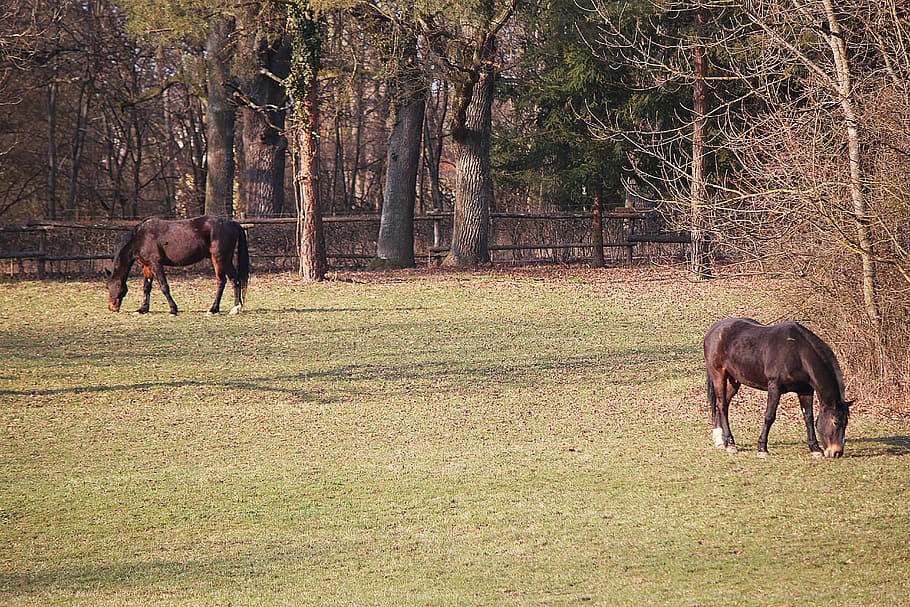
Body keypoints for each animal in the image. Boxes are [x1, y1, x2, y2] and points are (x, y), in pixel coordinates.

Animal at [105, 215, 249, 316]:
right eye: (107, 287)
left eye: (115, 286)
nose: (111, 307)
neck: (140, 238)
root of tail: (232, 223)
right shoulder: (147, 266)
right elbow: (146, 287)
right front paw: (142, 309)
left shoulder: (156, 264)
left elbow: (164, 286)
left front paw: (173, 309)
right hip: (227, 260)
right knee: (235, 280)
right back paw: (235, 308)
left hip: (219, 259)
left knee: (221, 281)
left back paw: (213, 309)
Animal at [703, 318, 851, 458]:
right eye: (836, 422)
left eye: (846, 423)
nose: (837, 452)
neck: (797, 351)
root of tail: (714, 330)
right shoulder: (775, 387)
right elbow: (769, 416)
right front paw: (762, 448)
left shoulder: (805, 390)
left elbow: (808, 418)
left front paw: (815, 449)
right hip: (718, 375)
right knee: (722, 406)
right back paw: (730, 444)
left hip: (733, 381)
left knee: (722, 405)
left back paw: (720, 440)